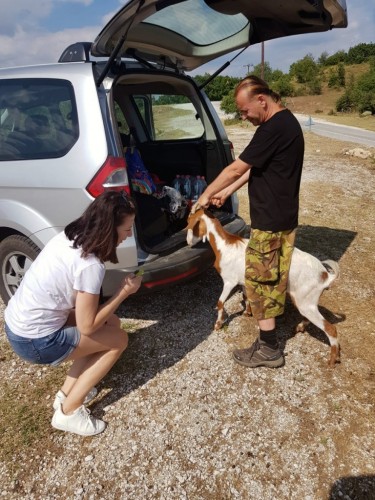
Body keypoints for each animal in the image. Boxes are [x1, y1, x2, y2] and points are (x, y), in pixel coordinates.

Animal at [187, 207, 342, 368]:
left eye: (188, 220)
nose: (188, 241)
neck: (224, 245)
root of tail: (325, 275)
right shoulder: (243, 281)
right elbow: (246, 297)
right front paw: (247, 312)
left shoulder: (229, 281)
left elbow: (220, 302)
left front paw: (218, 324)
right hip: (304, 301)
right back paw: (301, 327)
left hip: (306, 302)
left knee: (331, 329)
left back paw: (332, 360)